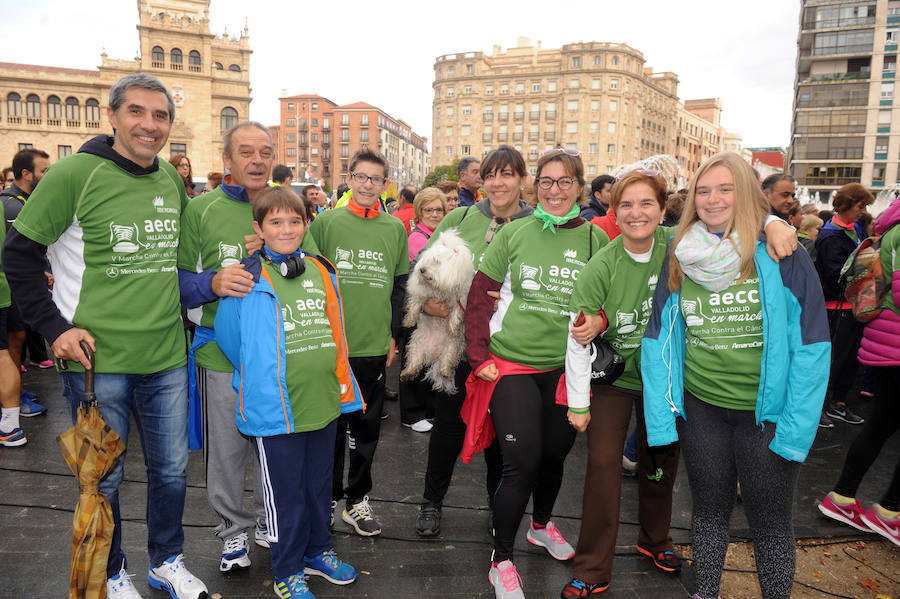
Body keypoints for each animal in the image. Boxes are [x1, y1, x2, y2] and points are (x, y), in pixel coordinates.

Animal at [402, 229, 474, 394]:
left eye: (437, 261)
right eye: (426, 259)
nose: (421, 269)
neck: (440, 289)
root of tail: (434, 352)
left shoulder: (461, 299)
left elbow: (456, 314)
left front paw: (453, 327)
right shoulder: (421, 292)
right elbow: (415, 305)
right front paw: (409, 320)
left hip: (451, 348)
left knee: (445, 363)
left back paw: (445, 372)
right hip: (416, 344)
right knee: (414, 362)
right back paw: (407, 373)